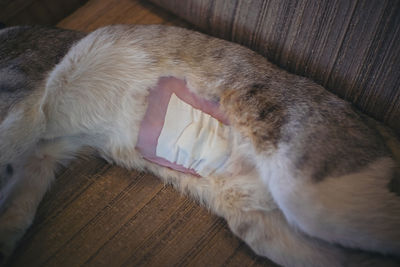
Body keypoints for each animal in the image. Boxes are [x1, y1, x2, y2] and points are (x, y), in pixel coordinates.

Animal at [0, 24, 400, 266]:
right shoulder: (41, 156)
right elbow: (15, 212)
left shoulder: (22, 97)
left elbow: (8, 141)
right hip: (269, 230)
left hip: (310, 196)